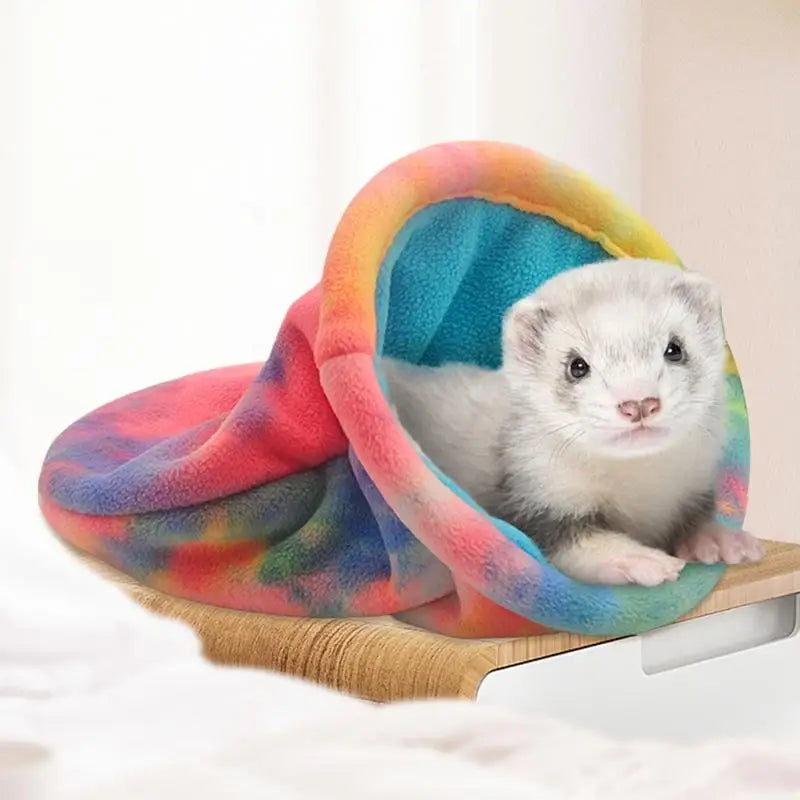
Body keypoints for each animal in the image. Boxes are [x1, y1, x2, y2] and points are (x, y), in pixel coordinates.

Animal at [381, 258, 764, 586]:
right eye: (576, 365)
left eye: (675, 348)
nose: (638, 402)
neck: (642, 492)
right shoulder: (536, 496)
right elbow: (571, 544)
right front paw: (638, 559)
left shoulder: (695, 482)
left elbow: (697, 516)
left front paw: (720, 539)